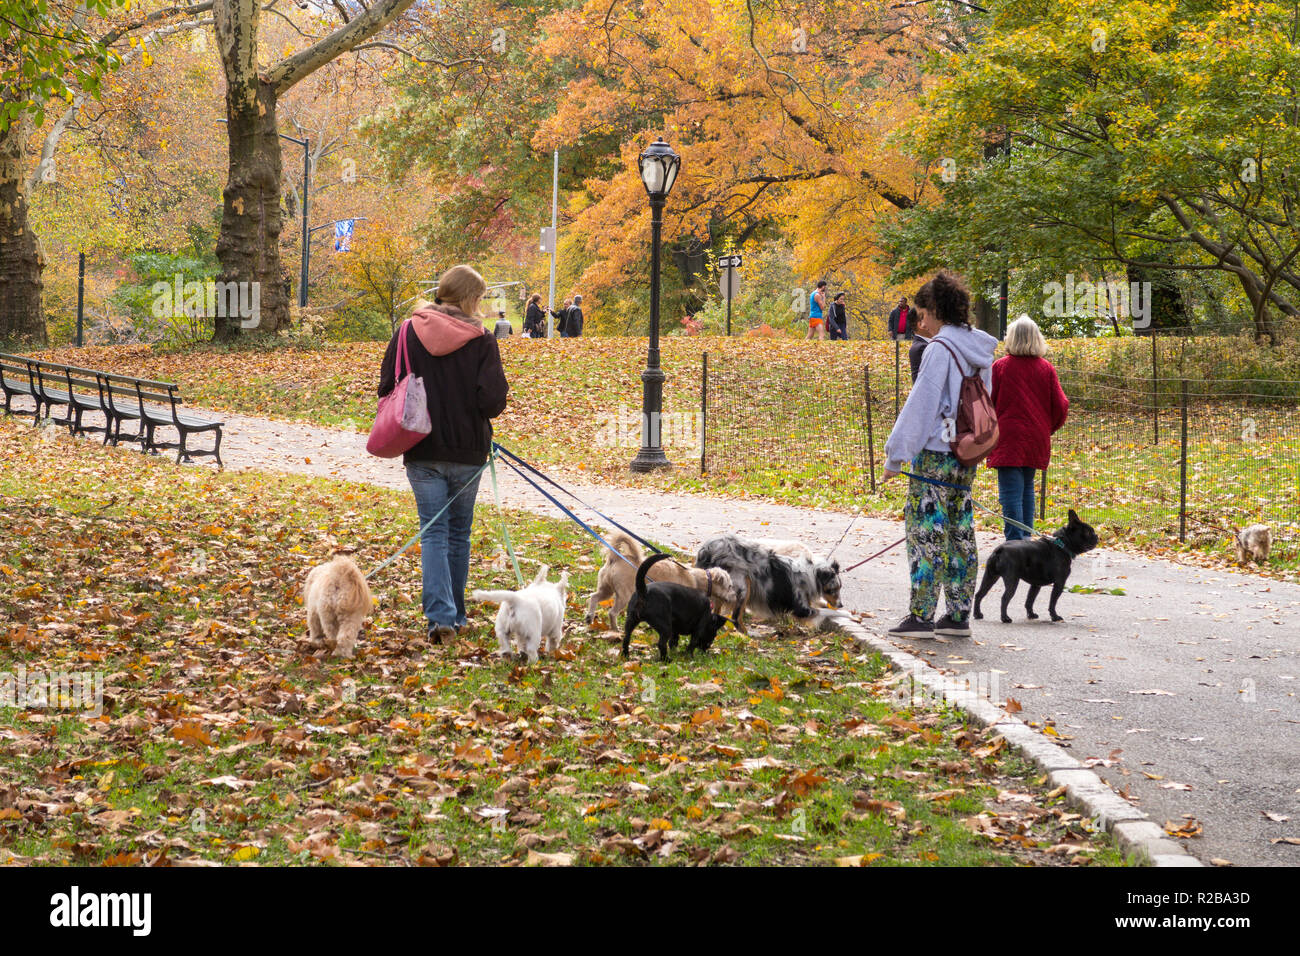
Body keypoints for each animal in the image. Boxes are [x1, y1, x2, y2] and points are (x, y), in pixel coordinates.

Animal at [585, 530, 738, 629]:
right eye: (730, 586)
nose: (735, 597)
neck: (699, 579)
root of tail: (615, 557)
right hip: (624, 595)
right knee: (612, 613)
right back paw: (615, 629)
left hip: (607, 589)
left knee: (594, 597)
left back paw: (589, 616)